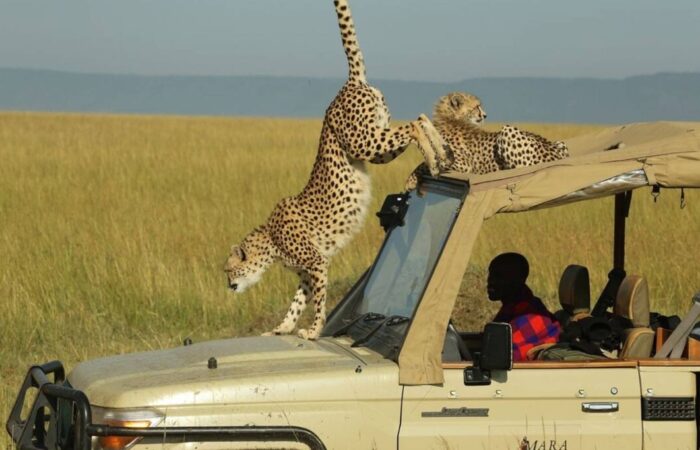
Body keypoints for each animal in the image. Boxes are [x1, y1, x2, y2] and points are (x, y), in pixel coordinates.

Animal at [224, 0, 448, 340]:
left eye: (229, 269)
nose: (228, 285)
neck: (270, 241)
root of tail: (349, 83)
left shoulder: (316, 263)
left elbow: (318, 301)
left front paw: (314, 330)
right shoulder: (307, 271)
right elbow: (297, 302)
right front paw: (283, 328)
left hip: (365, 142)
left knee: (414, 124)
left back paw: (436, 159)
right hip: (377, 143)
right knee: (421, 118)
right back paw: (441, 155)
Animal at [404, 91, 569, 190]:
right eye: (477, 107)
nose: (485, 115)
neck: (450, 118)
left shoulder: (463, 164)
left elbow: (427, 163)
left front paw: (410, 180)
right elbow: (426, 161)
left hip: (507, 130)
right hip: (561, 143)